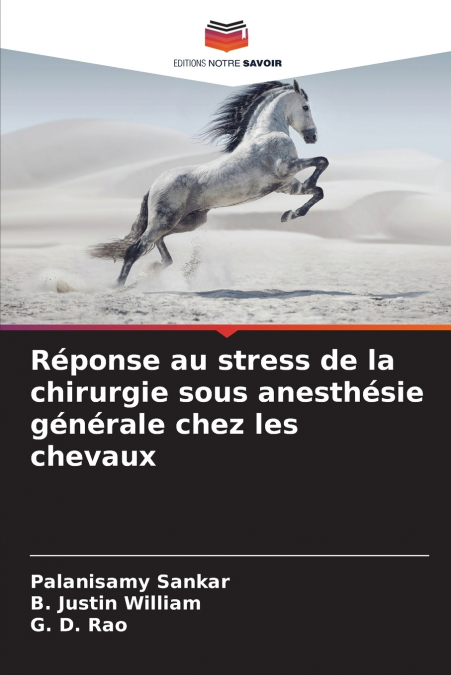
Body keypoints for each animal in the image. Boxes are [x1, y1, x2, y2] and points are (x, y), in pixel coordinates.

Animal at [89, 80, 329, 286]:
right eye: (305, 107)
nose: (313, 136)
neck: (266, 133)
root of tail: (154, 185)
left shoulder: (286, 185)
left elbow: (318, 191)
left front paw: (289, 214)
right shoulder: (285, 167)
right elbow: (322, 162)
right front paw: (300, 197)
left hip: (187, 222)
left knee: (157, 244)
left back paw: (153, 270)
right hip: (165, 220)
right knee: (135, 249)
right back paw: (119, 287)